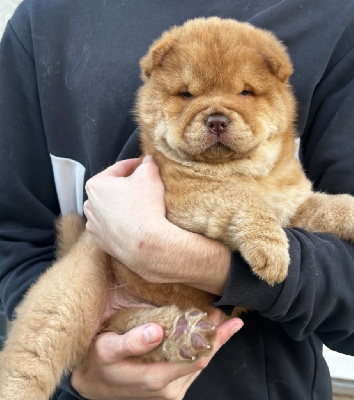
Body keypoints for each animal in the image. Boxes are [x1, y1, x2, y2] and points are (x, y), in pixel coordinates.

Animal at [0, 16, 354, 400]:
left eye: (245, 92)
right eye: (187, 94)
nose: (217, 120)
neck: (247, 172)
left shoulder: (292, 203)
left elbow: (324, 205)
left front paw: (349, 212)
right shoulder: (183, 195)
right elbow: (239, 198)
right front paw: (272, 254)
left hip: (126, 321)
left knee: (132, 332)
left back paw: (183, 333)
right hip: (67, 301)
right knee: (30, 359)